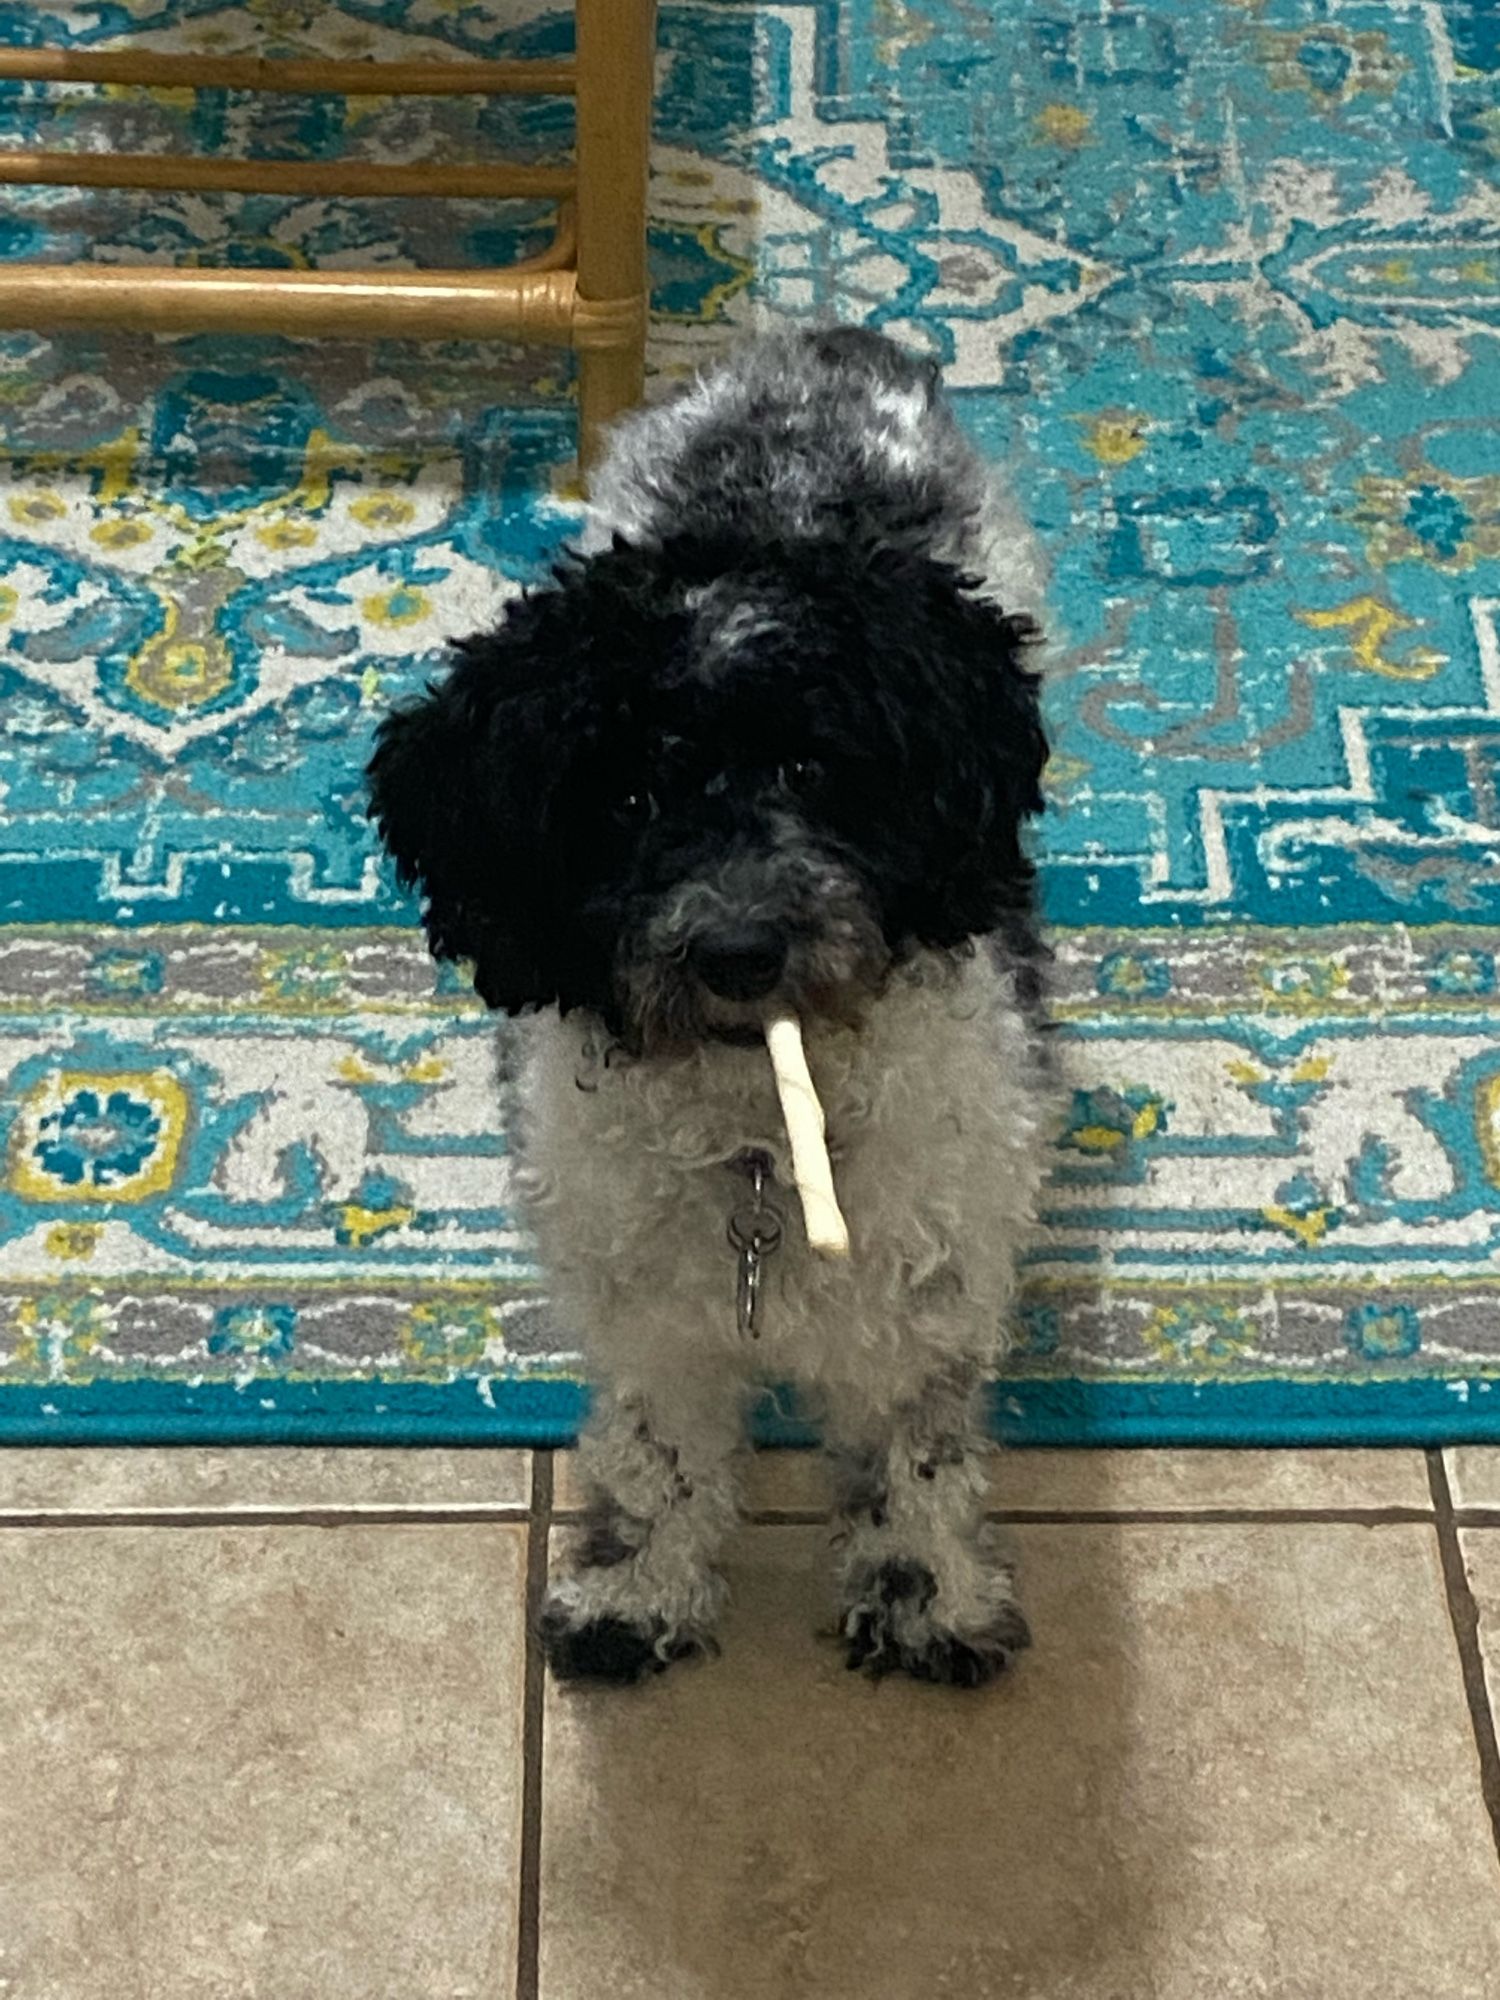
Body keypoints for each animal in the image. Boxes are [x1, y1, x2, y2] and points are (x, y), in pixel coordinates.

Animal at [372, 332, 1056, 1688]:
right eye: (625, 797)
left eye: (812, 766)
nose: (741, 949)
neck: (758, 1136)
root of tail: (821, 346)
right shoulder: (648, 1316)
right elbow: (661, 1460)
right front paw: (638, 1590)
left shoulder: (928, 1290)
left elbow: (919, 1455)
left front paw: (929, 1596)